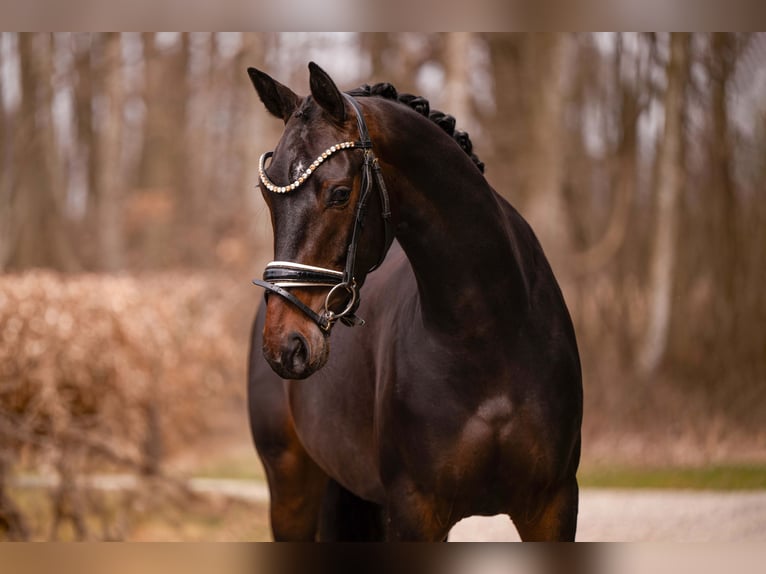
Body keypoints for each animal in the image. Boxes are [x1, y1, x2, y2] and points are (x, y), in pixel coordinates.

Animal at [246, 62, 583, 541]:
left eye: (339, 193)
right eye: (267, 197)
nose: (285, 345)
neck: (489, 334)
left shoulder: (553, 506)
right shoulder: (414, 511)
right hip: (291, 486)